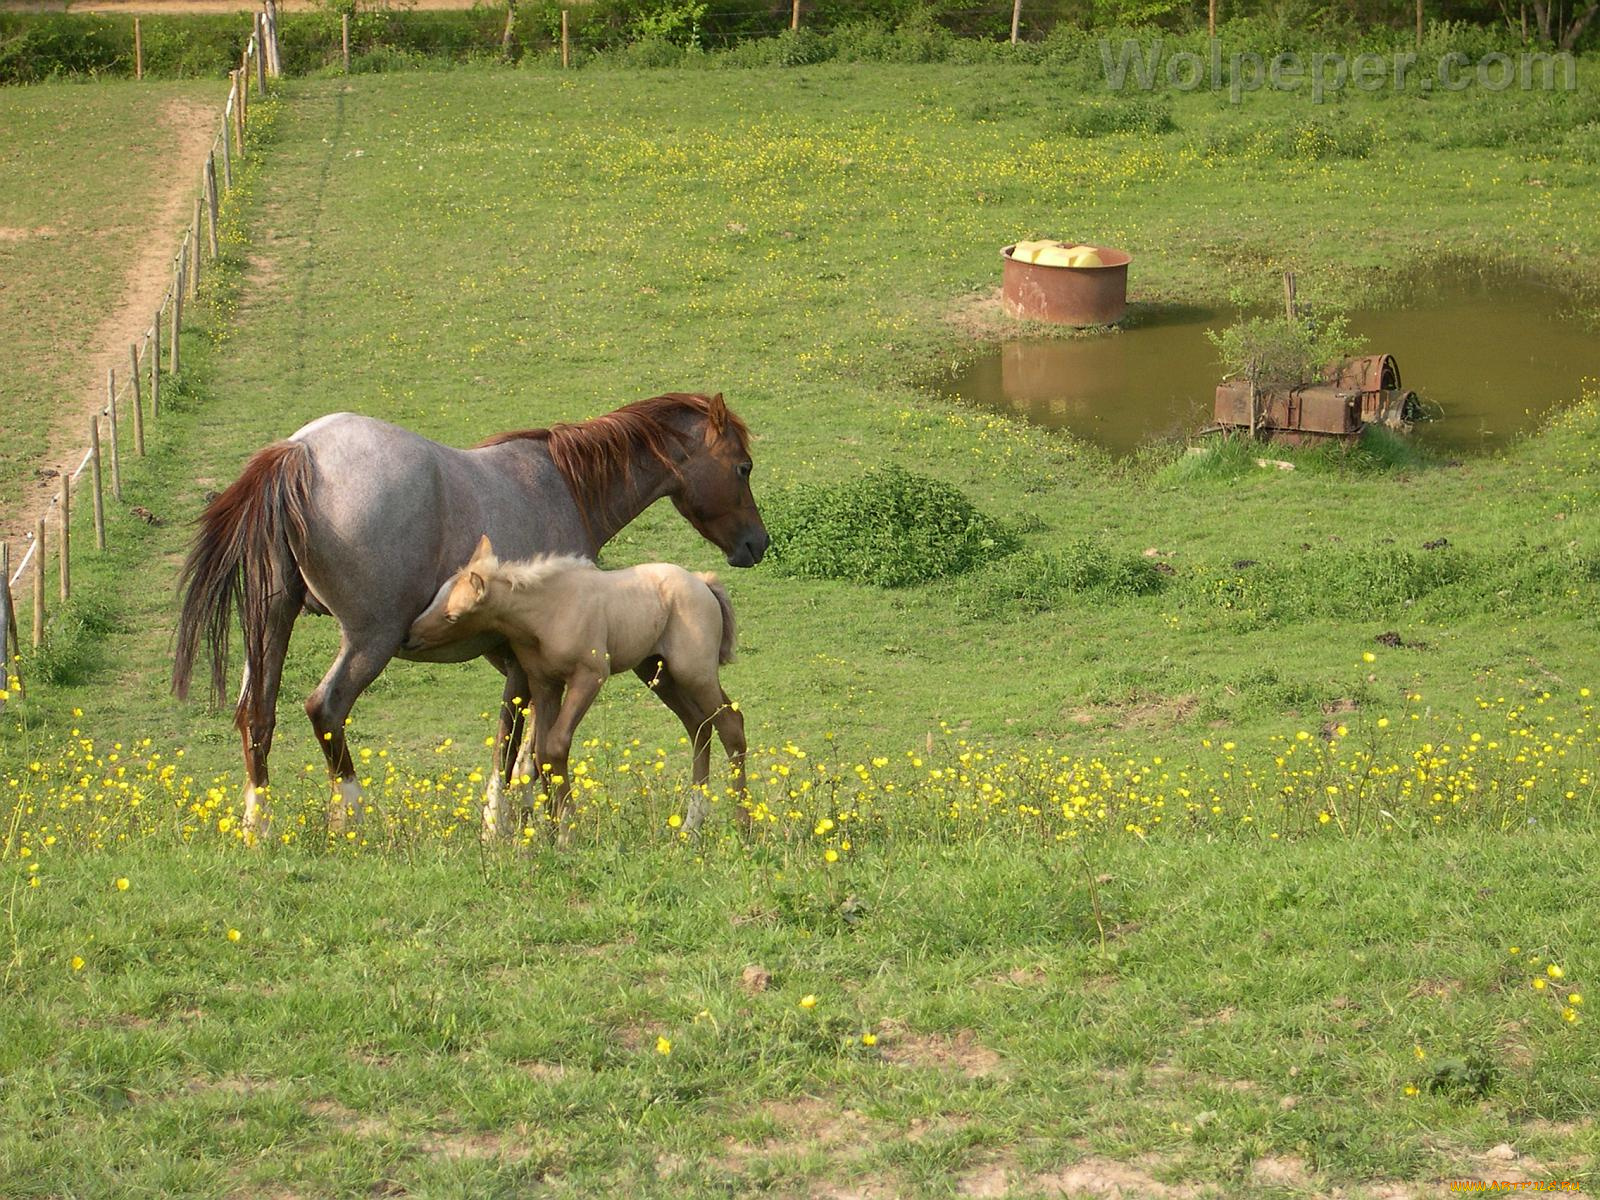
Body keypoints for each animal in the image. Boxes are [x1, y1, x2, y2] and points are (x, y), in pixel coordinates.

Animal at [403, 537, 745, 838]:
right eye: (436, 597)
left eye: (453, 616)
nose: (409, 636)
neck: (547, 613)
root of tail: (702, 582)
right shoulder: (545, 683)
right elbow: (541, 754)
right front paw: (552, 833)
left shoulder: (589, 675)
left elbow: (556, 746)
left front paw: (567, 833)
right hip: (657, 673)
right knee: (699, 724)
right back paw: (691, 825)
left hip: (695, 672)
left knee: (730, 724)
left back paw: (744, 825)